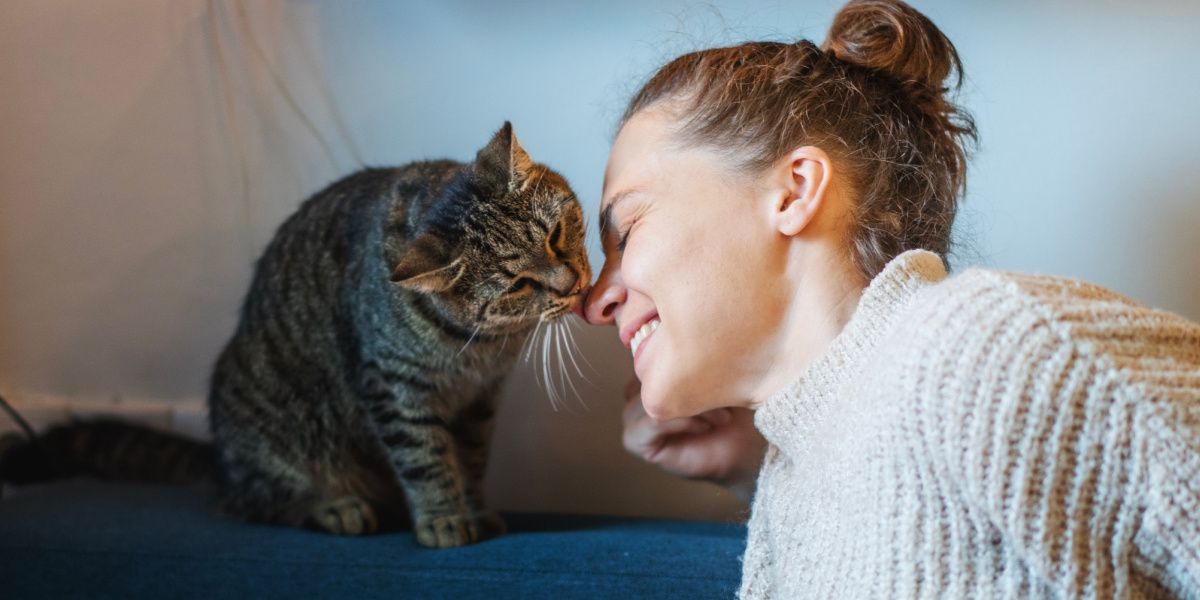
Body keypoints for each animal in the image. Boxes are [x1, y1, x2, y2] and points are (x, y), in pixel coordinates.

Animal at [0, 123, 590, 549]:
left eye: (556, 234)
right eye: (517, 284)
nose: (574, 284)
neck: (482, 348)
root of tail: (221, 462)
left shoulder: (480, 401)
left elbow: (469, 459)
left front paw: (477, 508)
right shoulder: (395, 389)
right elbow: (426, 459)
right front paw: (443, 517)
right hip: (267, 431)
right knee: (256, 503)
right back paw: (333, 506)